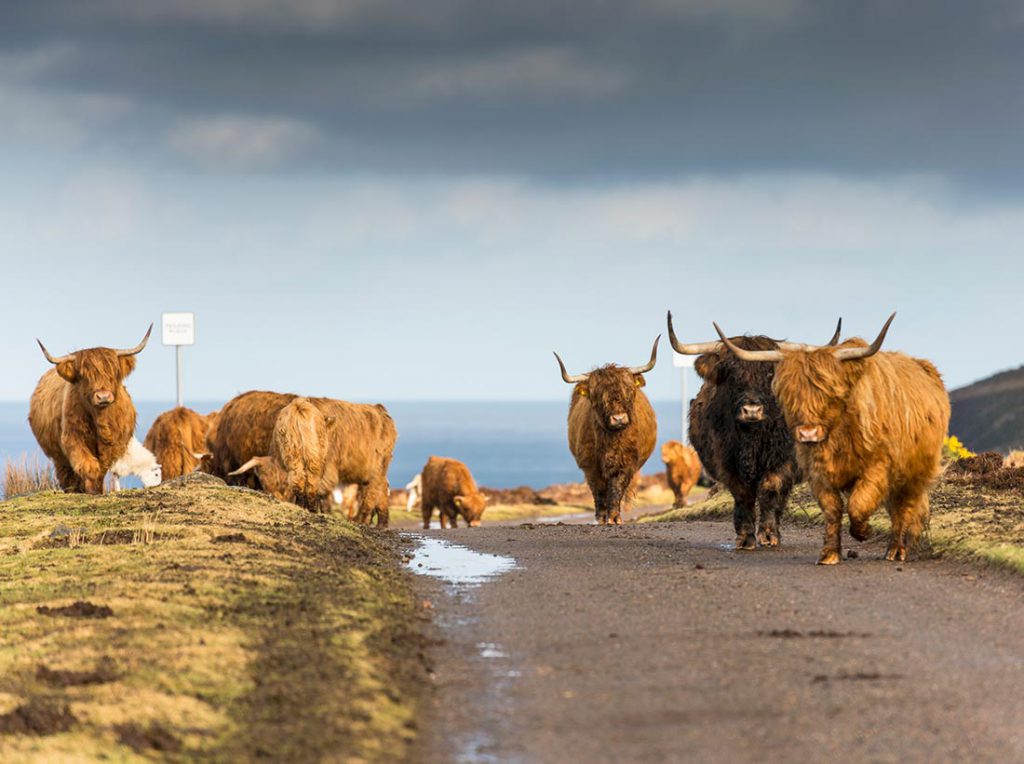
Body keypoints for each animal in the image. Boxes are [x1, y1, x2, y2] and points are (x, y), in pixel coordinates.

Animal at [28, 325, 152, 494]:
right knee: (66, 473)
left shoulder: (112, 445)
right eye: (84, 375)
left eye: (113, 372)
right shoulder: (74, 439)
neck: (100, 420)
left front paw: (98, 489)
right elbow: (88, 465)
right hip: (57, 455)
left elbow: (102, 468)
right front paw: (91, 490)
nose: (103, 396)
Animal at [228, 394, 397, 526]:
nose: (278, 499)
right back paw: (379, 523)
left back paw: (360, 520)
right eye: (263, 482)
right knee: (381, 487)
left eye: (279, 485)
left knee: (373, 490)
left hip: (375, 466)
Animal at [554, 337, 659, 525]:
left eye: (629, 391)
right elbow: (599, 490)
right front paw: (601, 518)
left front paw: (614, 517)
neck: (610, 440)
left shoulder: (626, 463)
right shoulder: (590, 465)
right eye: (598, 396)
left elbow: (617, 487)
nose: (618, 418)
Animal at [666, 314, 845, 549]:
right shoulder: (727, 462)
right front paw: (745, 537)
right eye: (732, 374)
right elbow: (743, 495)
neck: (752, 438)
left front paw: (769, 535)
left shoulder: (784, 460)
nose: (751, 410)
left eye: (769, 373)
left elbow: (770, 489)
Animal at [712, 313, 950, 565]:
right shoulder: (817, 472)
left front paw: (864, 532)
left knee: (905, 508)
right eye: (790, 394)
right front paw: (829, 554)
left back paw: (896, 550)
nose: (807, 433)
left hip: (914, 472)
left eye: (830, 392)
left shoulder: (878, 466)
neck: (839, 435)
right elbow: (833, 508)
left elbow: (858, 504)